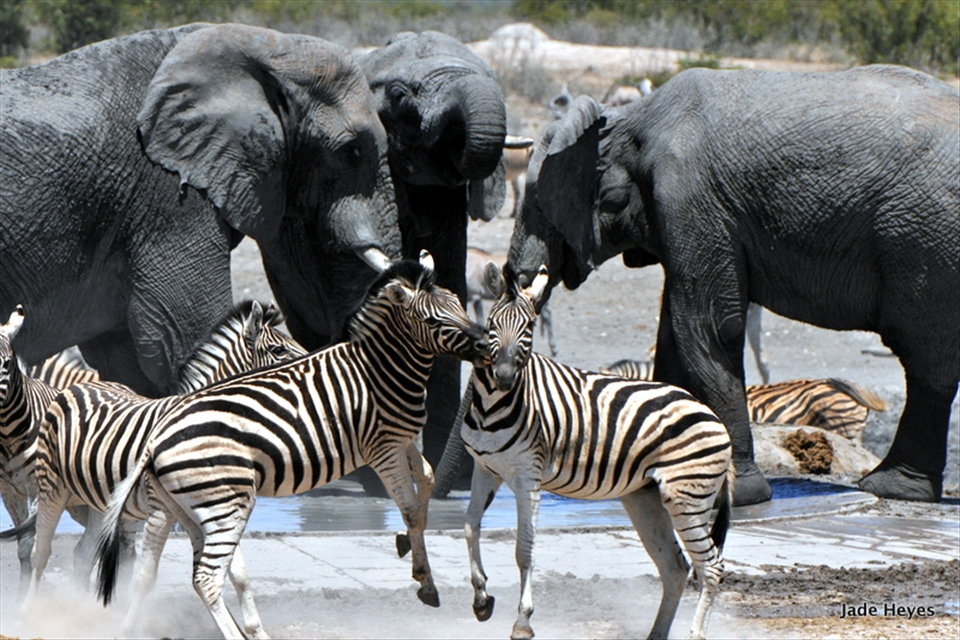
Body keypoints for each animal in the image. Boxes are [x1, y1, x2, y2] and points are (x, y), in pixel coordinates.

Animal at [13, 299, 305, 610]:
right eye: (278, 350)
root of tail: (82, 384)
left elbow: (236, 572)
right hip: (53, 487)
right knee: (41, 553)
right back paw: (28, 611)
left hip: (99, 504)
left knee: (82, 555)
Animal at [95, 252, 486, 639]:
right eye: (432, 320)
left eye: (458, 304)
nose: (485, 345)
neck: (378, 370)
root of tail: (155, 440)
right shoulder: (383, 449)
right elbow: (410, 510)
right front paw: (426, 583)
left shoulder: (401, 440)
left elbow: (427, 483)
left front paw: (408, 547)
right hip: (220, 502)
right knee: (202, 577)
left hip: (191, 508)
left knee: (196, 571)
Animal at [461, 262, 732, 640]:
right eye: (491, 324)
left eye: (529, 327)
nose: (502, 377)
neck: (492, 407)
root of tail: (710, 412)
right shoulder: (486, 468)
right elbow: (470, 526)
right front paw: (481, 600)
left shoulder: (528, 476)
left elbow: (524, 549)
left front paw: (523, 621)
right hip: (644, 497)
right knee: (675, 567)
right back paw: (656, 634)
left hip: (687, 496)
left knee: (710, 567)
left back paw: (695, 632)